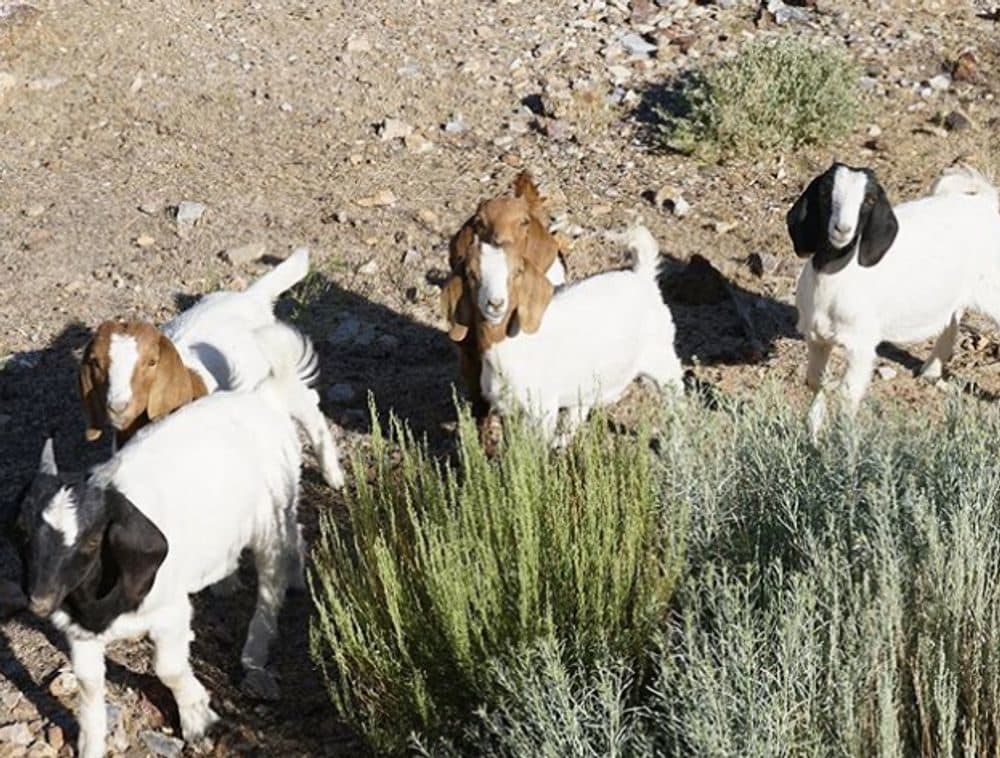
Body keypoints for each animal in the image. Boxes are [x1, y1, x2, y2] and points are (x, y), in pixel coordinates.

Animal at [14, 324, 316, 756]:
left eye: (90, 543)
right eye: (21, 533)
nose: (39, 601)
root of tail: (263, 398)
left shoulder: (170, 609)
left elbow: (168, 668)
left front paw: (199, 718)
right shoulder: (78, 631)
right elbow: (89, 687)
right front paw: (91, 745)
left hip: (270, 519)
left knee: (270, 583)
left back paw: (255, 653)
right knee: (293, 534)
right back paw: (282, 578)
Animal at [478, 226, 684, 442]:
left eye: (516, 273)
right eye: (474, 275)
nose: (495, 303)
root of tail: (642, 276)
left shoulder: (541, 408)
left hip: (661, 357)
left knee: (675, 394)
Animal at [788, 163, 1000, 436]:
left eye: (869, 200)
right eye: (825, 193)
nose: (842, 229)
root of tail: (984, 202)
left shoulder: (860, 344)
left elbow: (848, 394)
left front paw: (842, 441)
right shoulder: (816, 337)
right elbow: (816, 382)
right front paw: (812, 433)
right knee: (952, 317)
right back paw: (931, 371)